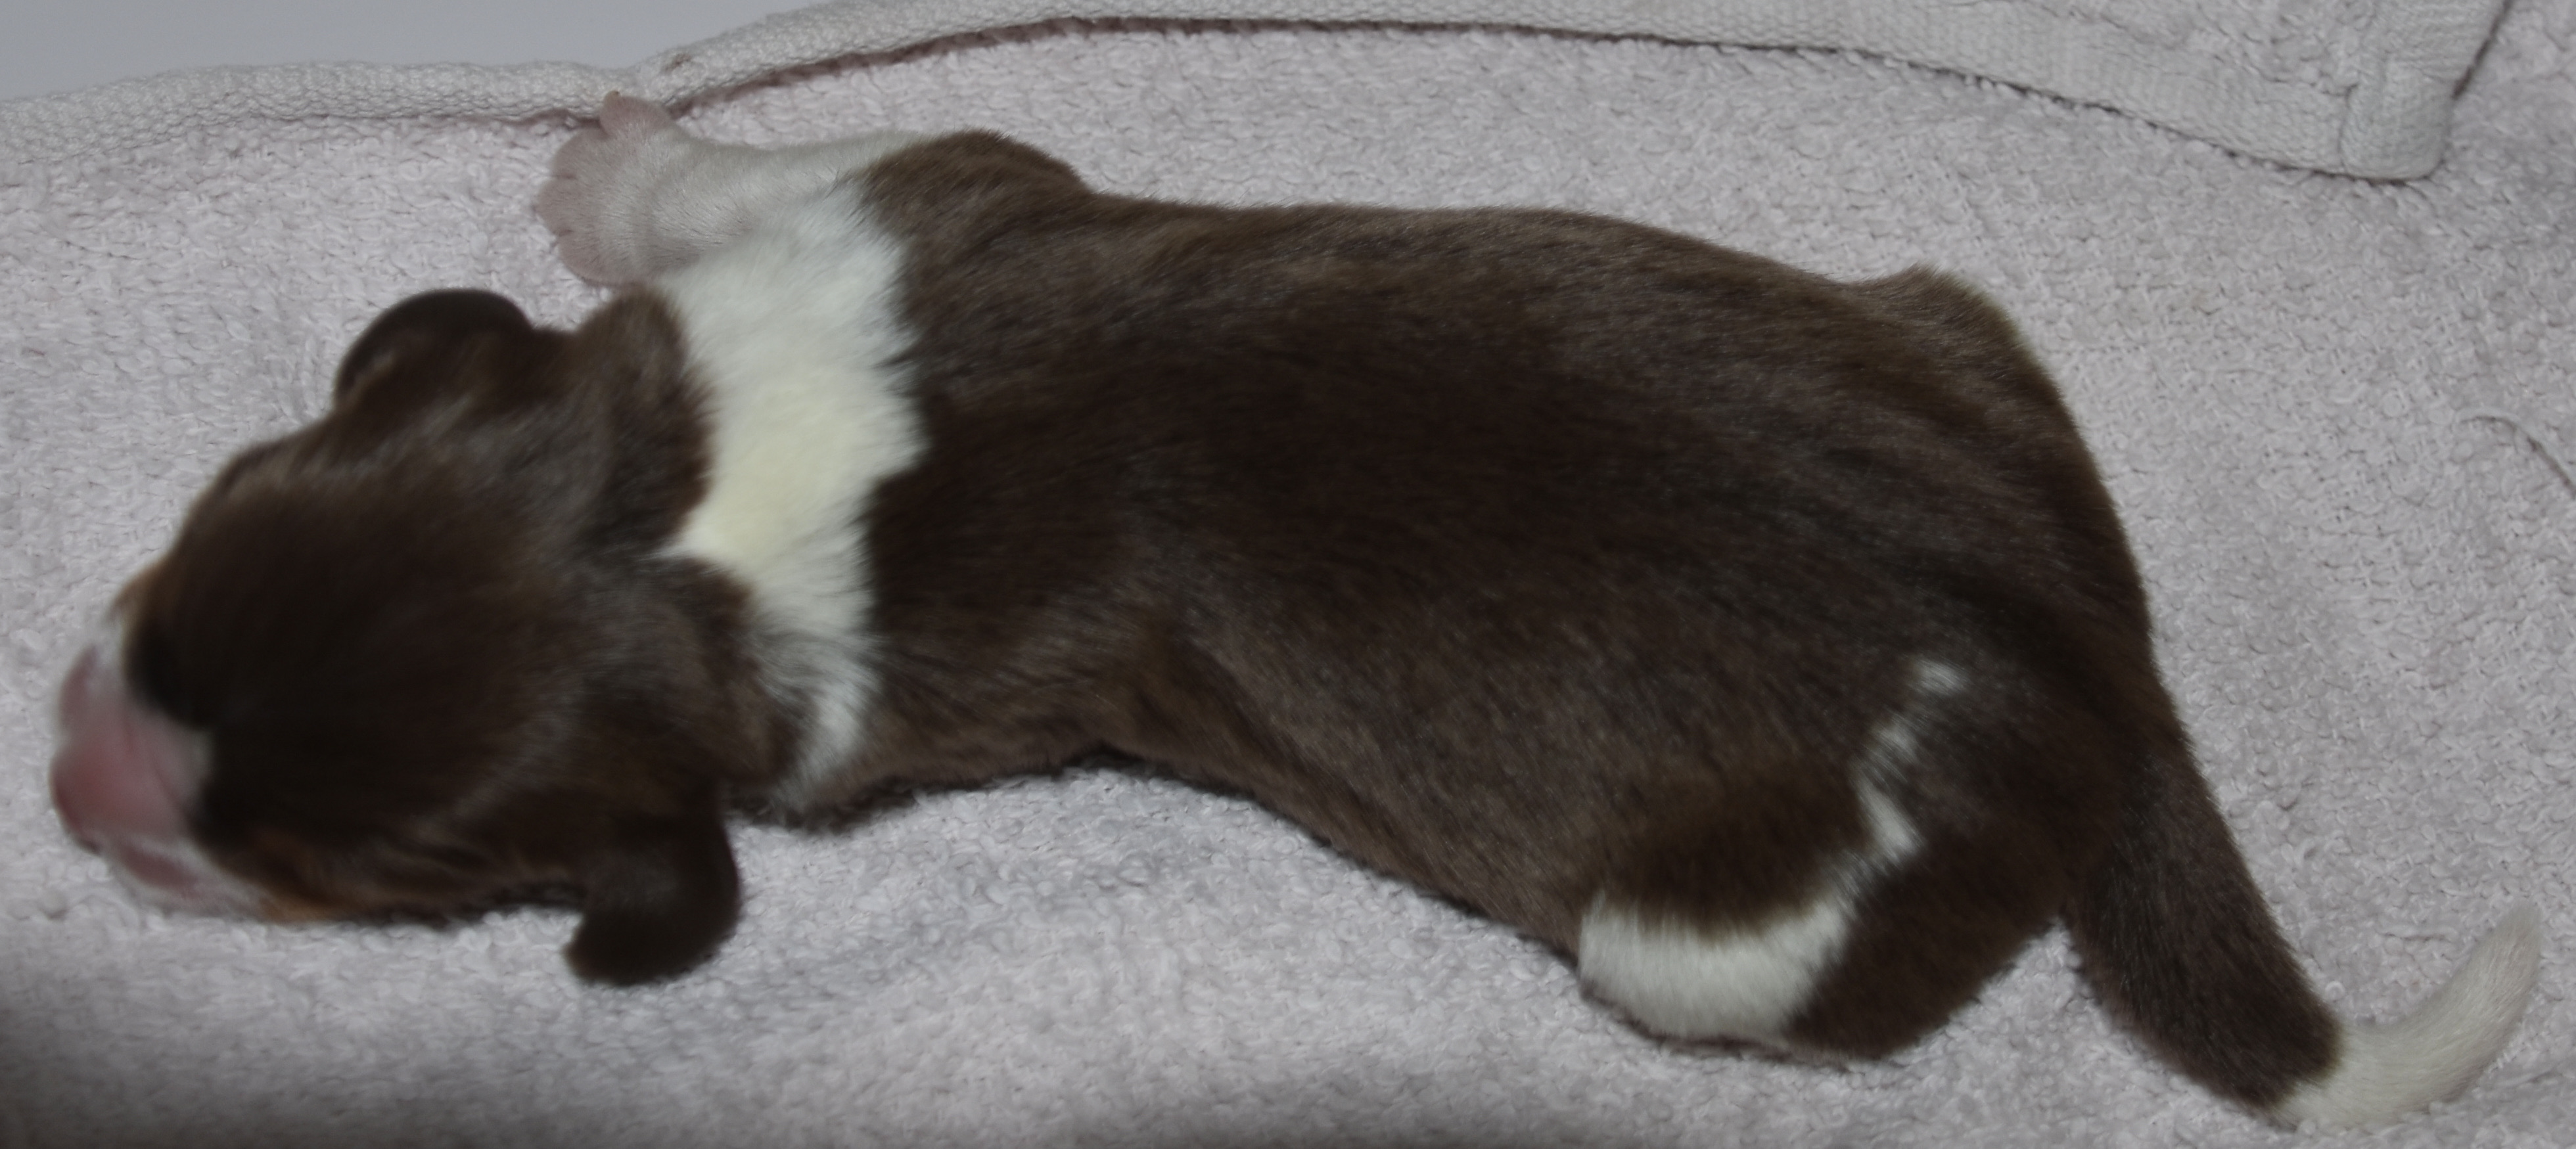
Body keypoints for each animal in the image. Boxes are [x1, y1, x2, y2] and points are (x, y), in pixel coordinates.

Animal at [50, 94, 2540, 1128]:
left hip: (1704, 941)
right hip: (1956, 315)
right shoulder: (940, 191)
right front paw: (611, 179)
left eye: (359, 864)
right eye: (201, 536)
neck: (687, 515)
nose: (81, 772)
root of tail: (2086, 659)